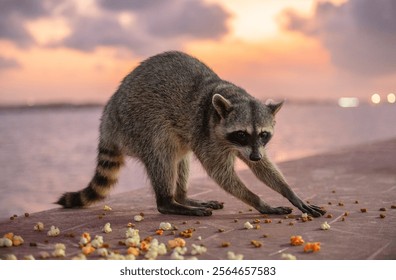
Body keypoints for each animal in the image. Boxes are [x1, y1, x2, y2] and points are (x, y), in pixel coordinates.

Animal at [57, 50, 326, 217]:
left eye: (263, 135)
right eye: (241, 134)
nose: (255, 156)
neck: (231, 95)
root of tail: (109, 117)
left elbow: (264, 168)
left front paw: (290, 193)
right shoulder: (208, 135)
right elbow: (221, 174)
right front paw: (259, 201)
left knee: (180, 159)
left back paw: (182, 196)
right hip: (139, 123)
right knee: (163, 154)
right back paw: (169, 201)